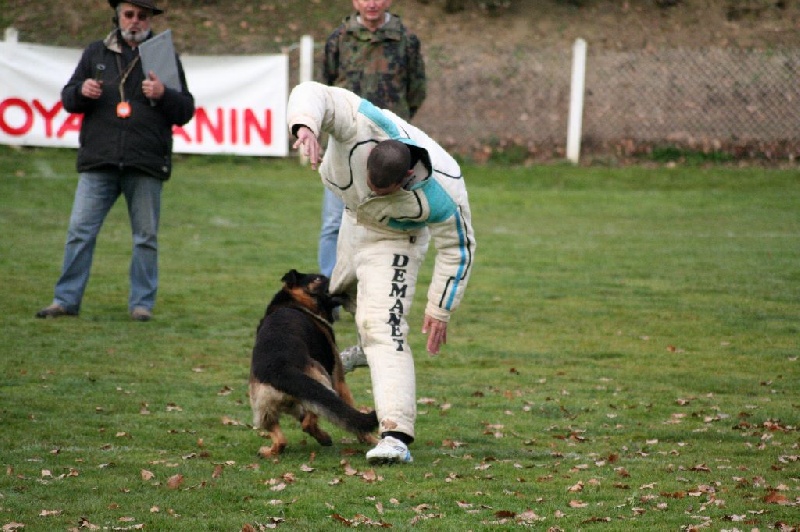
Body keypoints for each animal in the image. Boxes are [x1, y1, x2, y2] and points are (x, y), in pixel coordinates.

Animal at [248, 270, 376, 458]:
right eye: (318, 278)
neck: (295, 301)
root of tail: (280, 369)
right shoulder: (339, 379)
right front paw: (368, 439)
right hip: (323, 381)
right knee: (309, 421)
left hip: (266, 407)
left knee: (284, 437)